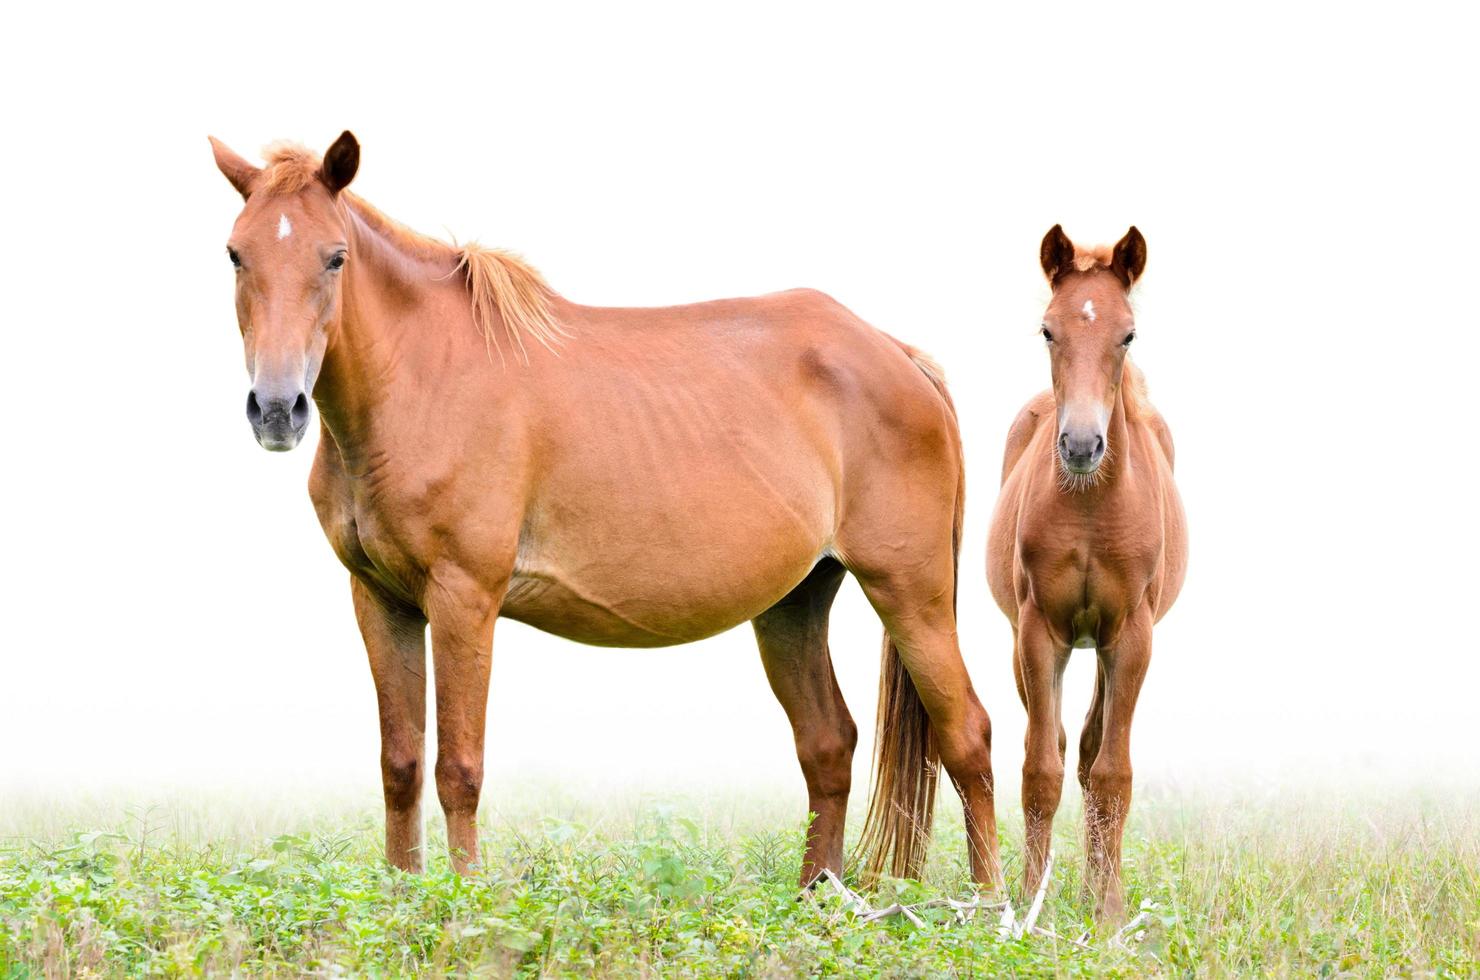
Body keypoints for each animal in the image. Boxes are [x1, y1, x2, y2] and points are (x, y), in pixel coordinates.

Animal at [208, 132, 1000, 888]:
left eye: (335, 257)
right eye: (236, 254)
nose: (276, 409)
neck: (422, 378)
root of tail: (897, 355)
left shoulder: (464, 597)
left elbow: (458, 768)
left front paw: (460, 908)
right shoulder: (380, 598)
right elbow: (399, 766)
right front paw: (404, 903)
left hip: (911, 594)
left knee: (969, 736)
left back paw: (991, 904)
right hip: (795, 602)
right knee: (828, 744)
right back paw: (817, 899)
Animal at [988, 226, 1184, 923]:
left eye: (1128, 334)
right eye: (1048, 330)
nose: (1079, 446)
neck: (1092, 506)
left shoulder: (1132, 635)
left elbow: (1112, 774)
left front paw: (1109, 913)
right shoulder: (1038, 632)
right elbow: (1040, 769)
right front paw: (1028, 903)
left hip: (1104, 645)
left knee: (1097, 751)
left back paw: (1099, 889)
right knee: (1063, 746)